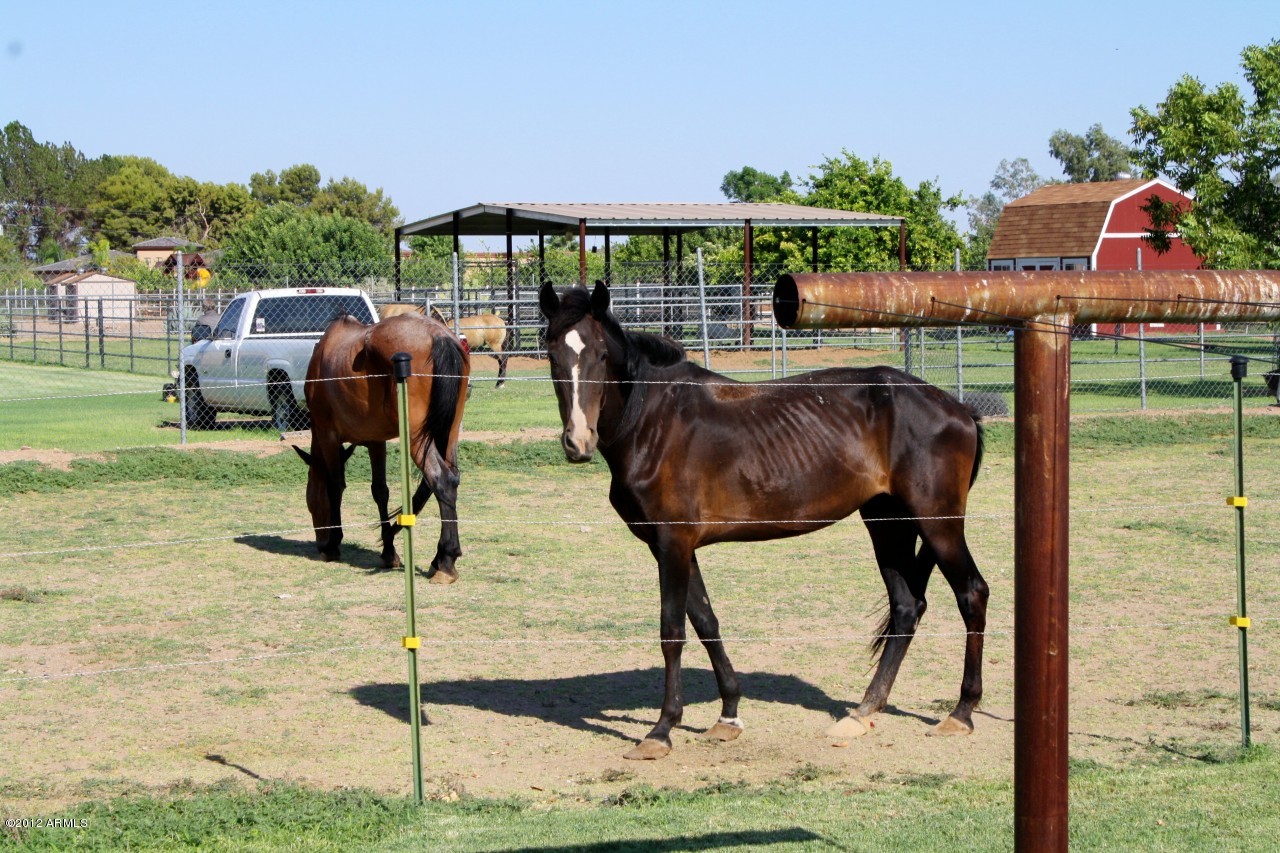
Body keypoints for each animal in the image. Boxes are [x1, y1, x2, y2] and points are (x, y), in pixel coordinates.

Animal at [292, 312, 471, 584]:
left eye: (310, 500)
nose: (320, 543)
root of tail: (437, 335)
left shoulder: (327, 436)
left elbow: (335, 487)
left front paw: (334, 544)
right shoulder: (376, 441)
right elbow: (380, 491)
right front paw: (388, 551)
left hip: (418, 438)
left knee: (441, 479)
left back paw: (447, 561)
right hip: (448, 433)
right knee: (448, 480)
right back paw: (439, 558)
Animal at [539, 281, 988, 760]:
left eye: (601, 355)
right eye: (551, 353)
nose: (578, 442)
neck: (654, 422)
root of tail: (959, 409)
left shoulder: (672, 545)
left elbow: (672, 631)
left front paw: (661, 730)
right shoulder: (676, 548)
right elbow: (706, 623)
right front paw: (728, 716)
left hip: (937, 523)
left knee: (971, 594)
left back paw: (961, 712)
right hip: (887, 522)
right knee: (906, 608)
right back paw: (863, 710)